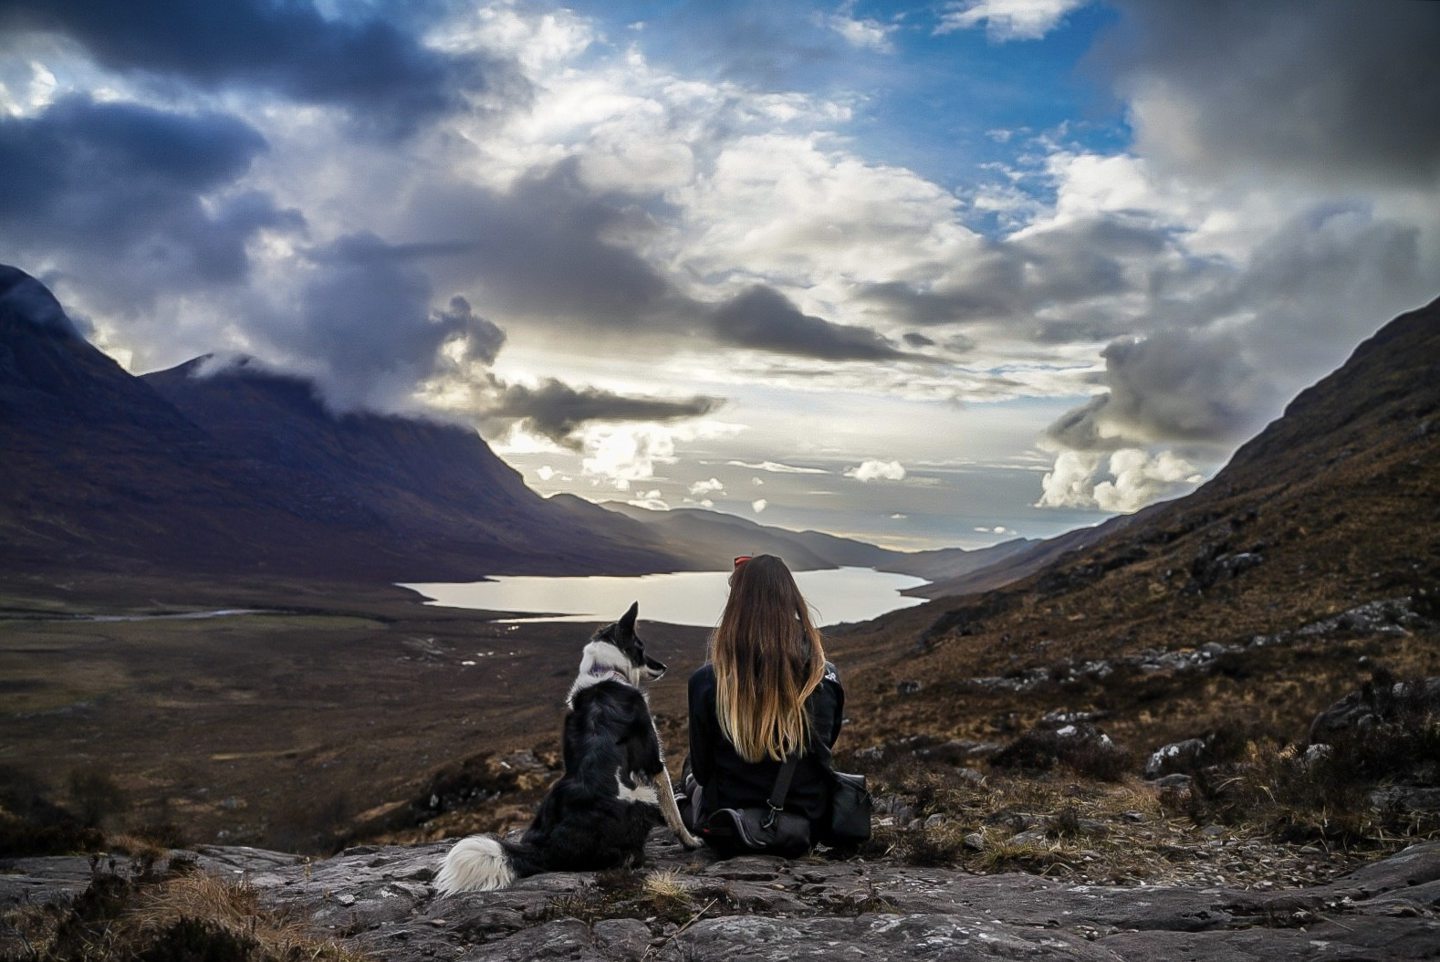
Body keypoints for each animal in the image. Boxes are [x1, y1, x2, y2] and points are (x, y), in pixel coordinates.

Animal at [432, 601, 696, 892]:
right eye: (640, 647)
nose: (664, 666)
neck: (603, 671)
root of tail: (550, 847)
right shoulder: (652, 760)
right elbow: (673, 812)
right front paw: (691, 841)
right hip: (642, 796)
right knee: (631, 852)